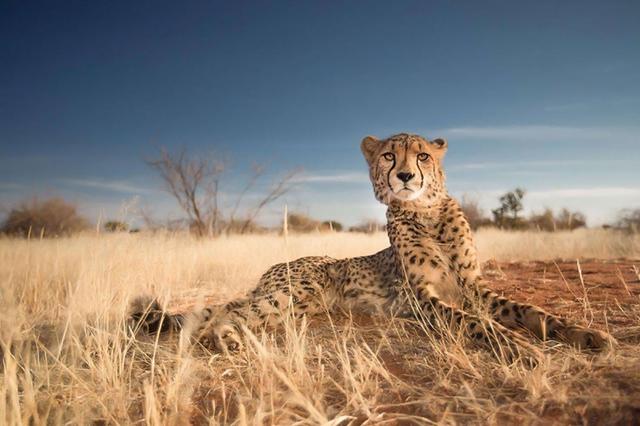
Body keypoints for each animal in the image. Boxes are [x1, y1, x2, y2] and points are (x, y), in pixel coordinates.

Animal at [131, 133, 616, 360]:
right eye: (388, 155)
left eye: (422, 156)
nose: (404, 176)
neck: (425, 212)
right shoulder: (422, 299)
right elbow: (475, 323)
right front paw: (520, 348)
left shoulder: (473, 287)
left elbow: (530, 311)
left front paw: (585, 334)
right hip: (294, 292)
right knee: (226, 312)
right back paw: (227, 339)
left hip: (299, 305)